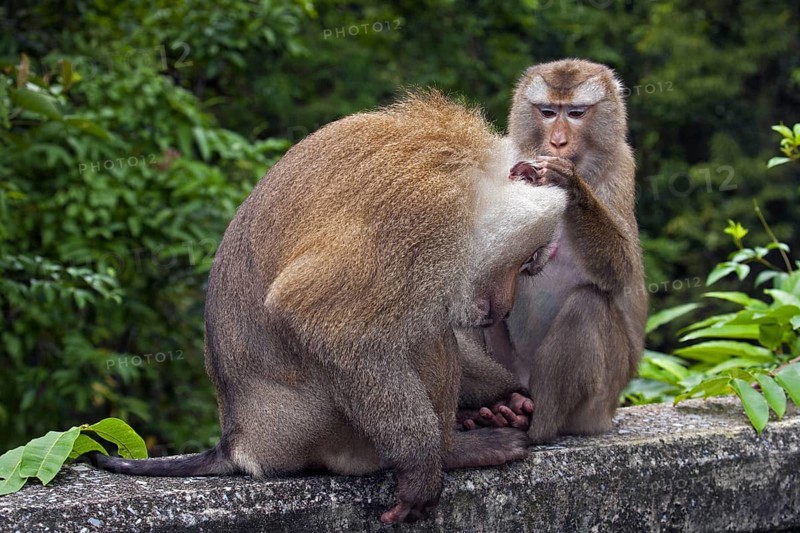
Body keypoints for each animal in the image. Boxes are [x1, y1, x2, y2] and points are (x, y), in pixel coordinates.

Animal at [89, 90, 568, 523]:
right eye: (527, 261)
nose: (504, 308)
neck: (472, 179)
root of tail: (243, 442)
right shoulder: (422, 214)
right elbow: (317, 317)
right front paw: (421, 465)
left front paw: (505, 397)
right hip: (326, 432)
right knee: (418, 336)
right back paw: (454, 452)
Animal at [459, 59, 648, 443]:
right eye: (547, 112)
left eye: (575, 113)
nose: (557, 142)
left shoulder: (622, 165)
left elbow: (623, 269)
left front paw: (569, 184)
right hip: (511, 369)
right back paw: (491, 409)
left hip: (596, 405)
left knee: (588, 305)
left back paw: (535, 425)